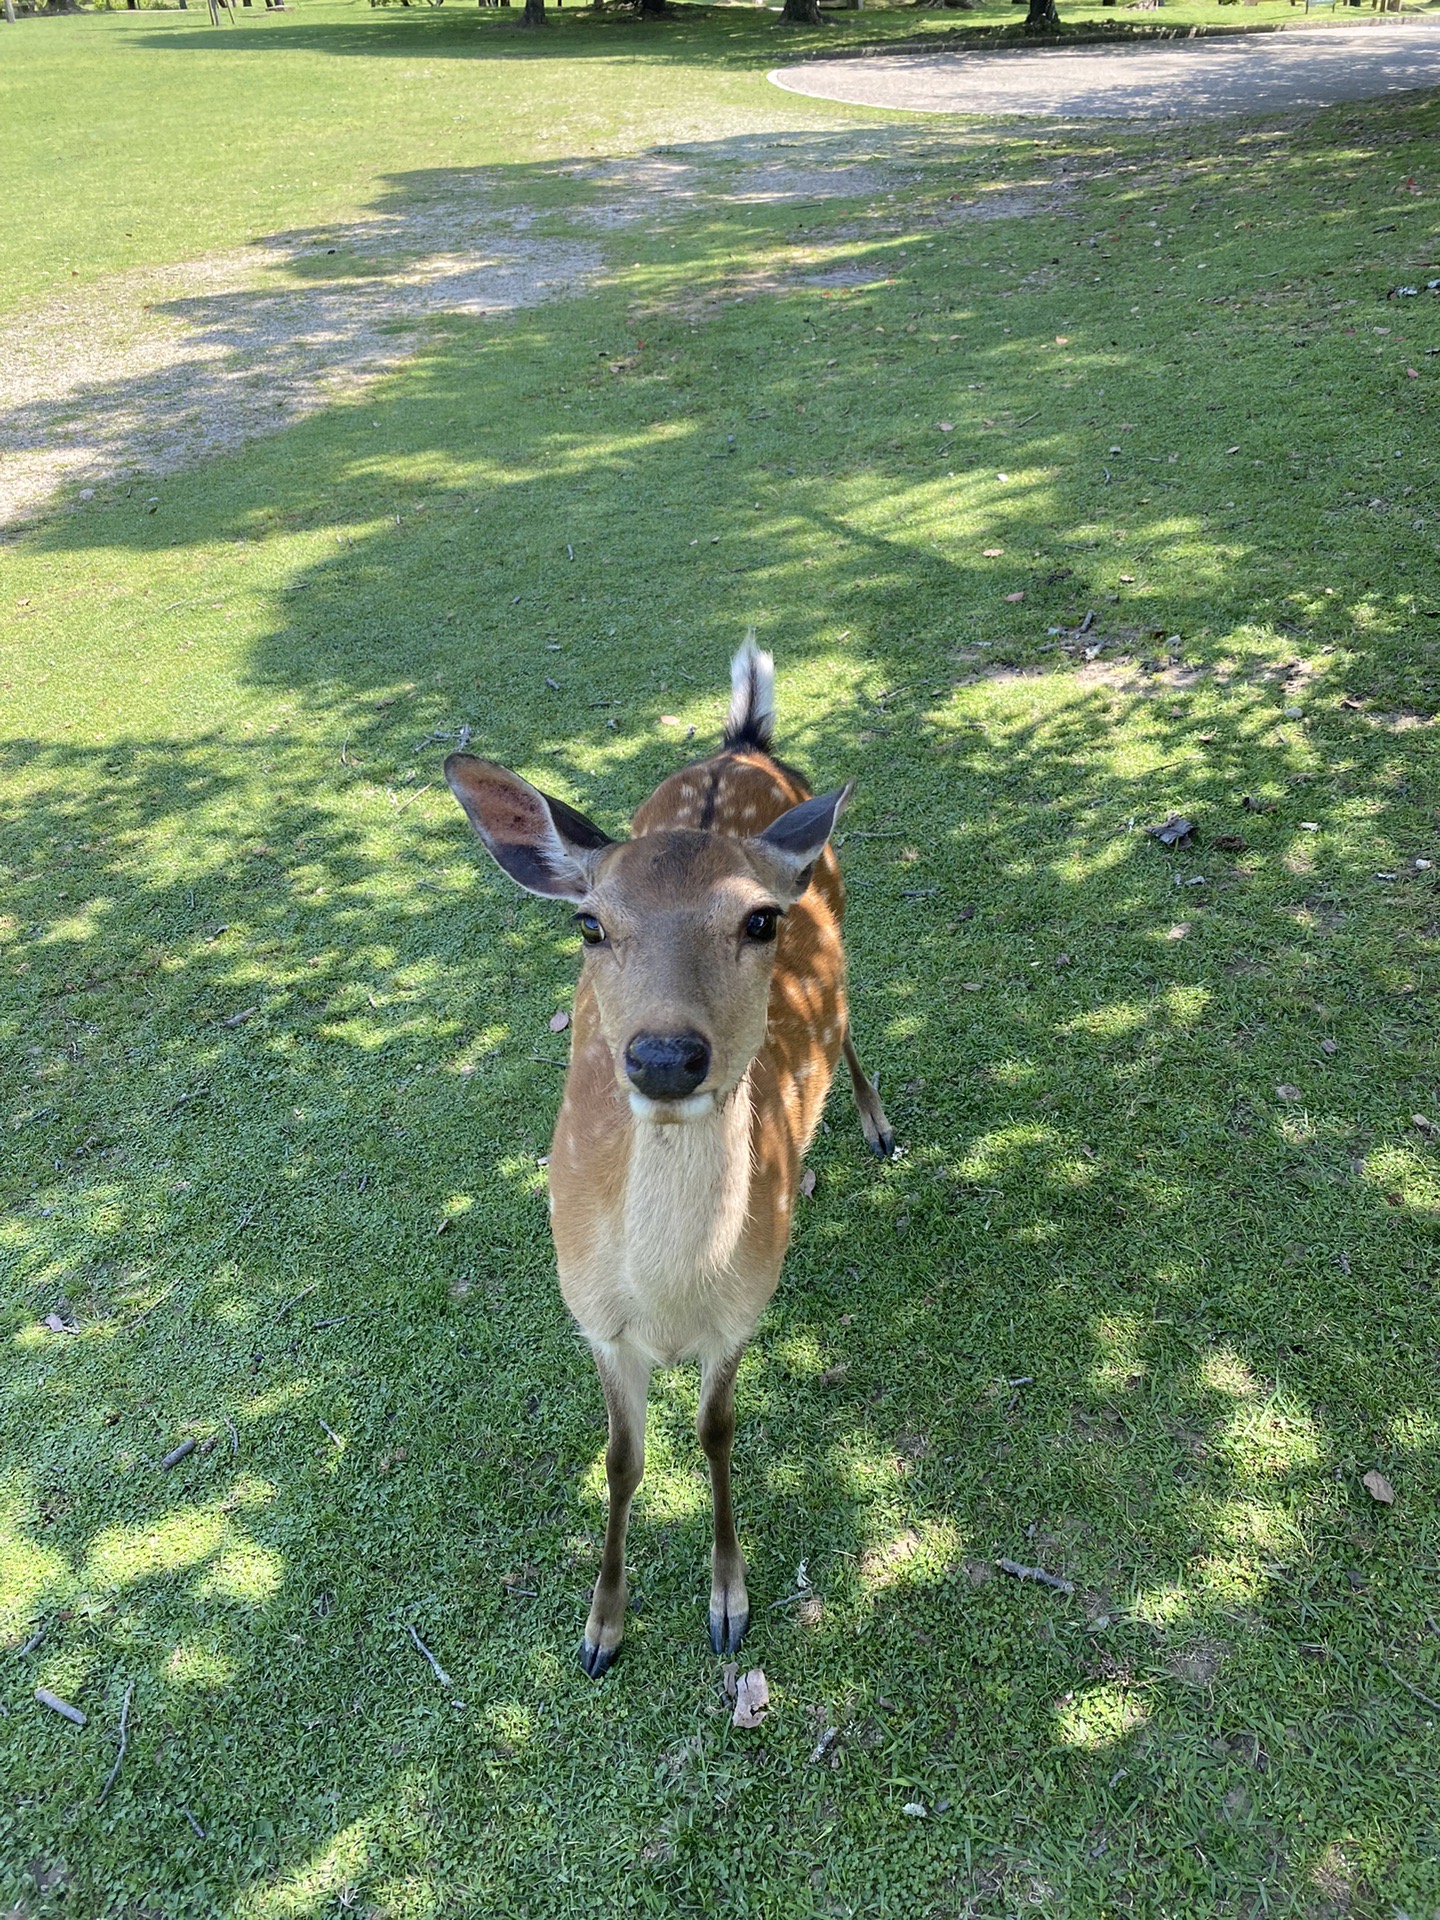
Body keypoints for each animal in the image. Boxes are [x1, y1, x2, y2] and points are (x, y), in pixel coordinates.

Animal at [443, 637, 890, 1674]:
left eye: (760, 920)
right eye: (590, 924)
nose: (663, 1056)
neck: (675, 1300)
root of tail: (742, 742)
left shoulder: (745, 1311)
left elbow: (716, 1434)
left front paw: (729, 1604)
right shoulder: (593, 1318)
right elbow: (621, 1461)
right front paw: (601, 1627)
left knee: (852, 1018)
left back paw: (877, 1122)